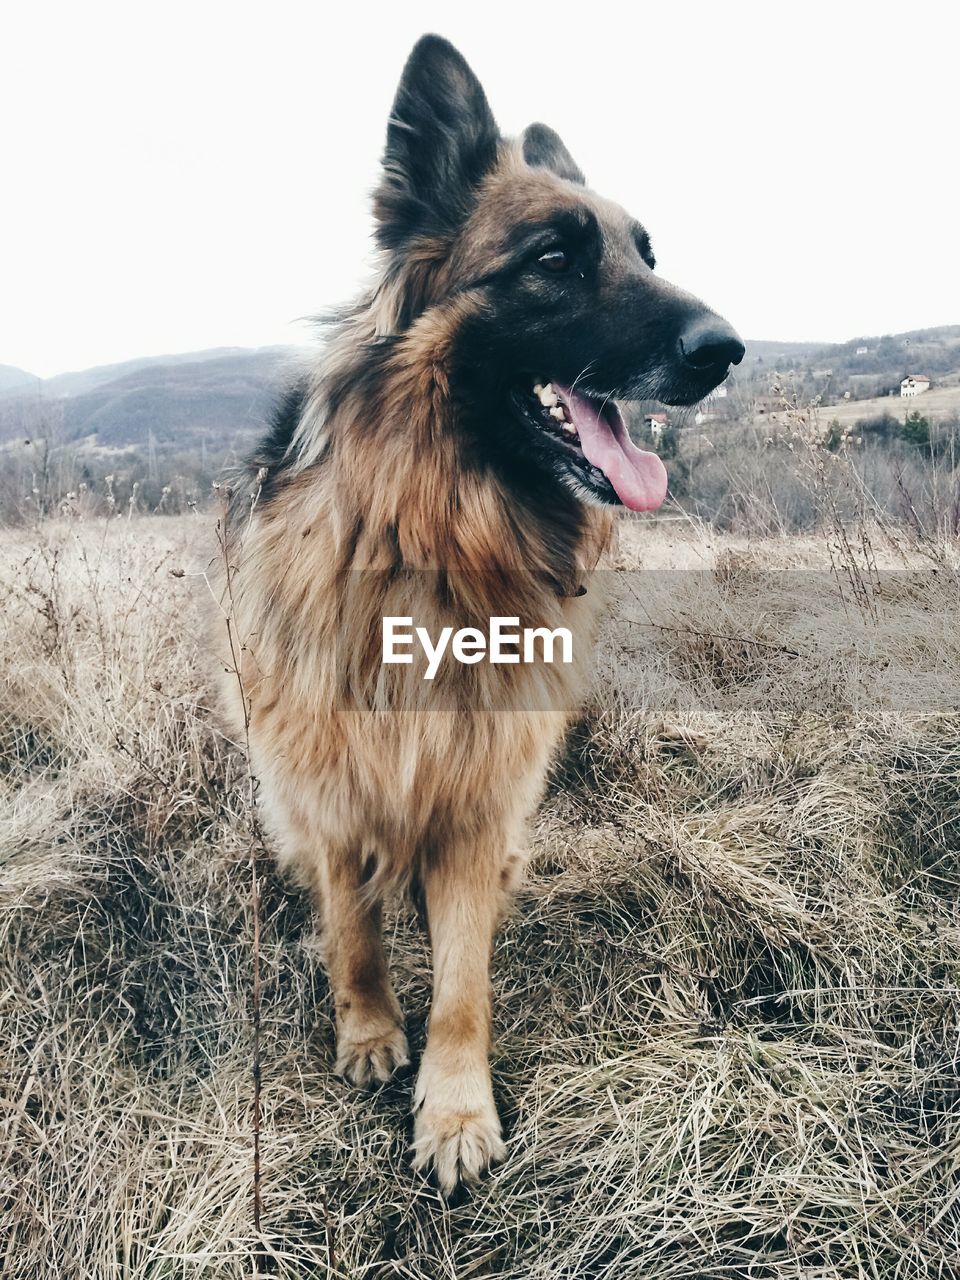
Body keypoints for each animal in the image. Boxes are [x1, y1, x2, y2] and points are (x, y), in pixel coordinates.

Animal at [217, 35, 742, 1192]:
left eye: (645, 251)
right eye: (552, 259)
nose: (729, 349)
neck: (439, 535)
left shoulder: (473, 787)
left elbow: (463, 979)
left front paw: (454, 1109)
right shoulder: (331, 777)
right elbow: (353, 929)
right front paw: (370, 1032)